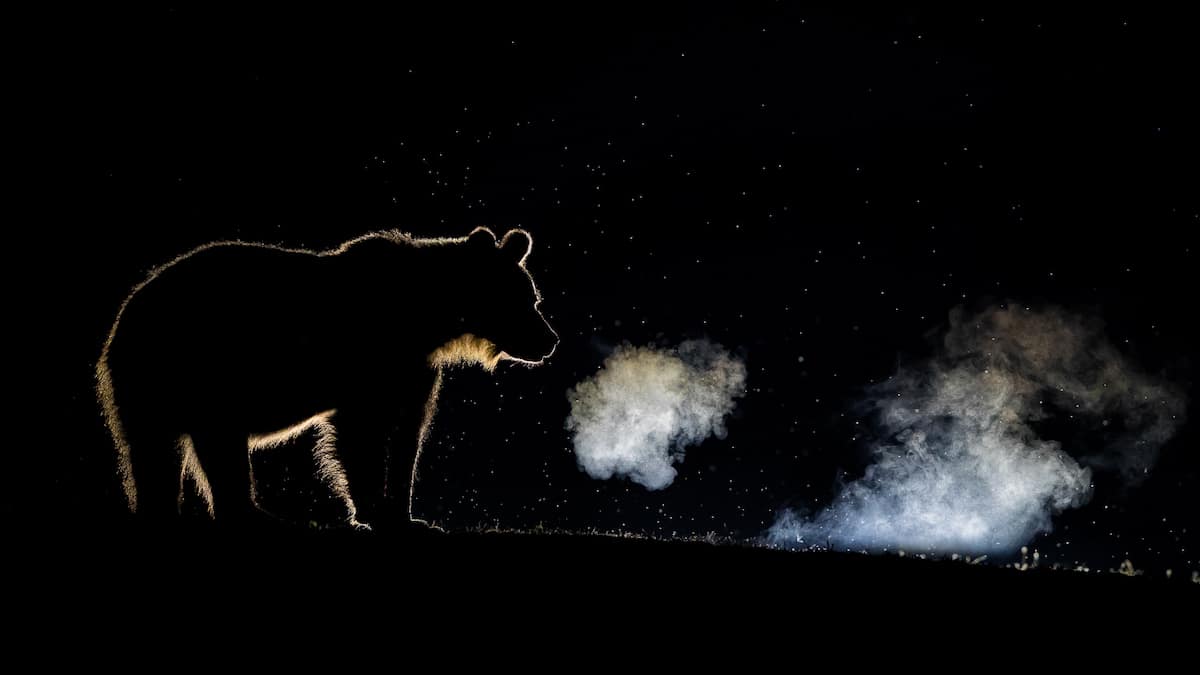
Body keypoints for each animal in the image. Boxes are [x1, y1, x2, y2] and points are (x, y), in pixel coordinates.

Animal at [97, 228, 556, 528]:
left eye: (534, 299)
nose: (550, 340)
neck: (426, 318)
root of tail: (127, 312)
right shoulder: (369, 364)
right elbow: (361, 435)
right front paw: (375, 509)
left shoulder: (414, 370)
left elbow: (408, 435)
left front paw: (407, 514)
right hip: (192, 368)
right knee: (206, 447)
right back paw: (257, 515)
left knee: (164, 452)